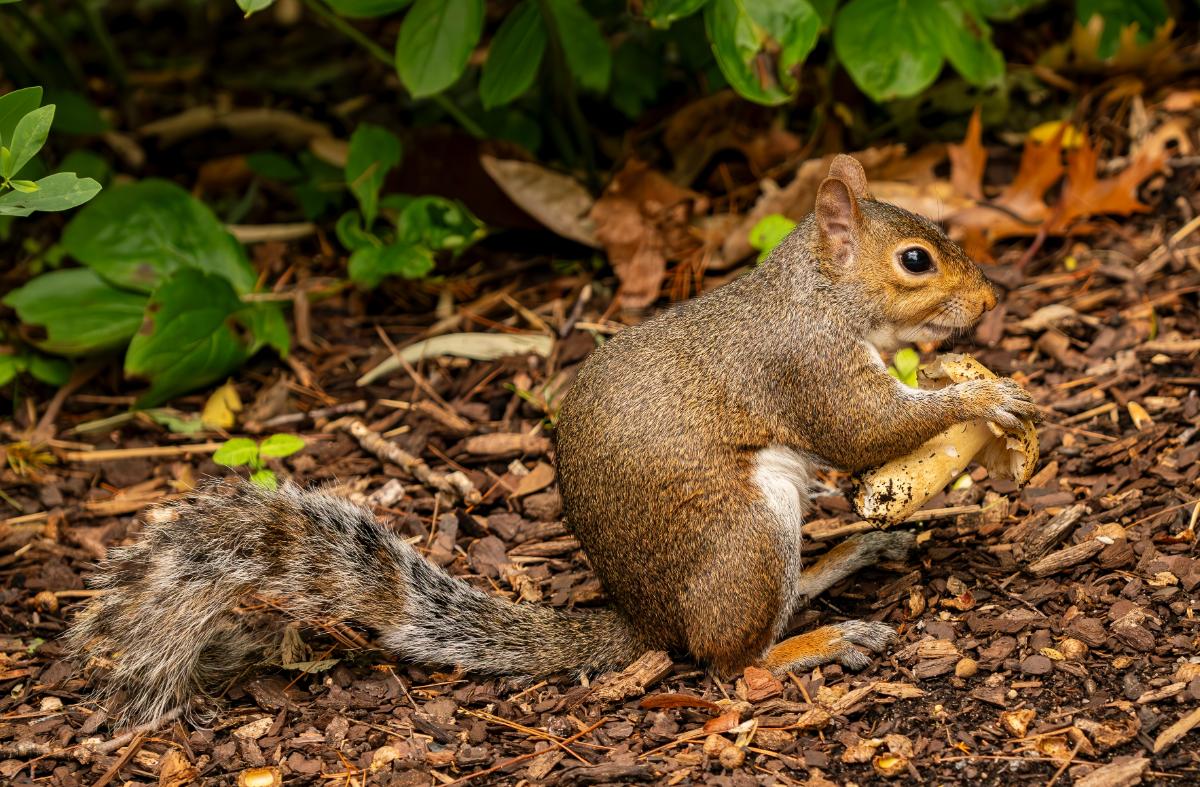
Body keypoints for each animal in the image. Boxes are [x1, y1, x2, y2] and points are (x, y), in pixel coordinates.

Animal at [64, 155, 1038, 726]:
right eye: (915, 260)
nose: (992, 300)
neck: (819, 294)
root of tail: (644, 619)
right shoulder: (804, 364)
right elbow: (866, 429)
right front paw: (987, 395)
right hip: (746, 532)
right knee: (731, 659)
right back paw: (824, 640)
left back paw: (848, 559)